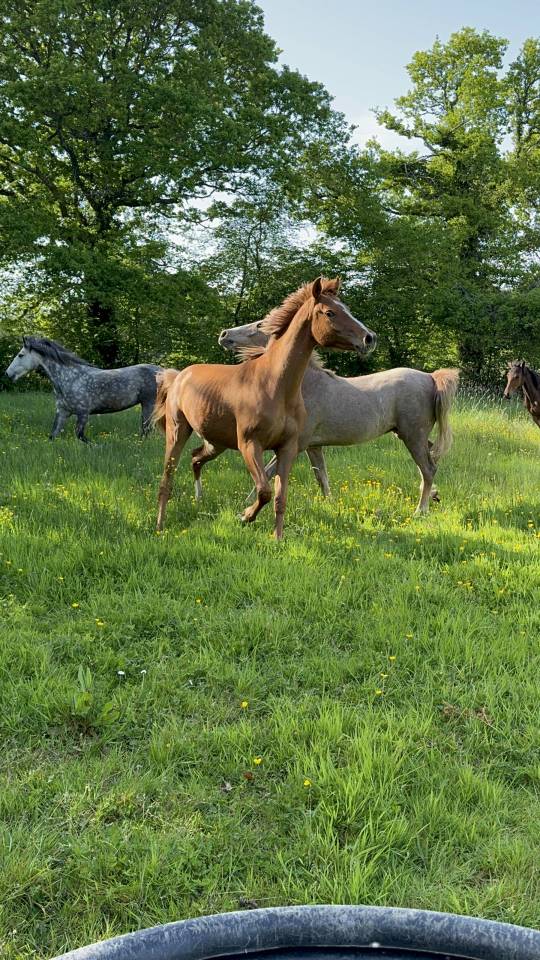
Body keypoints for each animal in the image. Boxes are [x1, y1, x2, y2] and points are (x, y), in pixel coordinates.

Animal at [5, 336, 162, 441]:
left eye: (20, 355)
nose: (7, 374)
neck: (70, 379)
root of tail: (163, 371)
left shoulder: (83, 413)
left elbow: (81, 437)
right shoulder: (63, 412)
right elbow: (53, 436)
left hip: (149, 405)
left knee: (147, 431)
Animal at [153, 277, 377, 539]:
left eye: (347, 309)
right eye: (330, 312)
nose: (369, 338)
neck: (273, 385)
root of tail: (179, 375)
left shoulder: (287, 448)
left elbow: (280, 498)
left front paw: (277, 539)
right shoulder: (250, 444)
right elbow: (264, 491)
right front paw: (244, 516)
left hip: (216, 442)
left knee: (196, 458)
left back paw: (198, 500)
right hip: (178, 432)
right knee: (167, 480)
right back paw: (160, 526)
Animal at [218, 320, 459, 515]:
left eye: (259, 325)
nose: (224, 334)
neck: (304, 386)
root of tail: (430, 377)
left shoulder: (296, 444)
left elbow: (267, 471)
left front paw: (247, 502)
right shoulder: (313, 446)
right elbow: (321, 476)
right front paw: (331, 504)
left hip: (413, 436)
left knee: (428, 469)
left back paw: (421, 510)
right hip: (410, 436)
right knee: (431, 459)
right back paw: (433, 495)